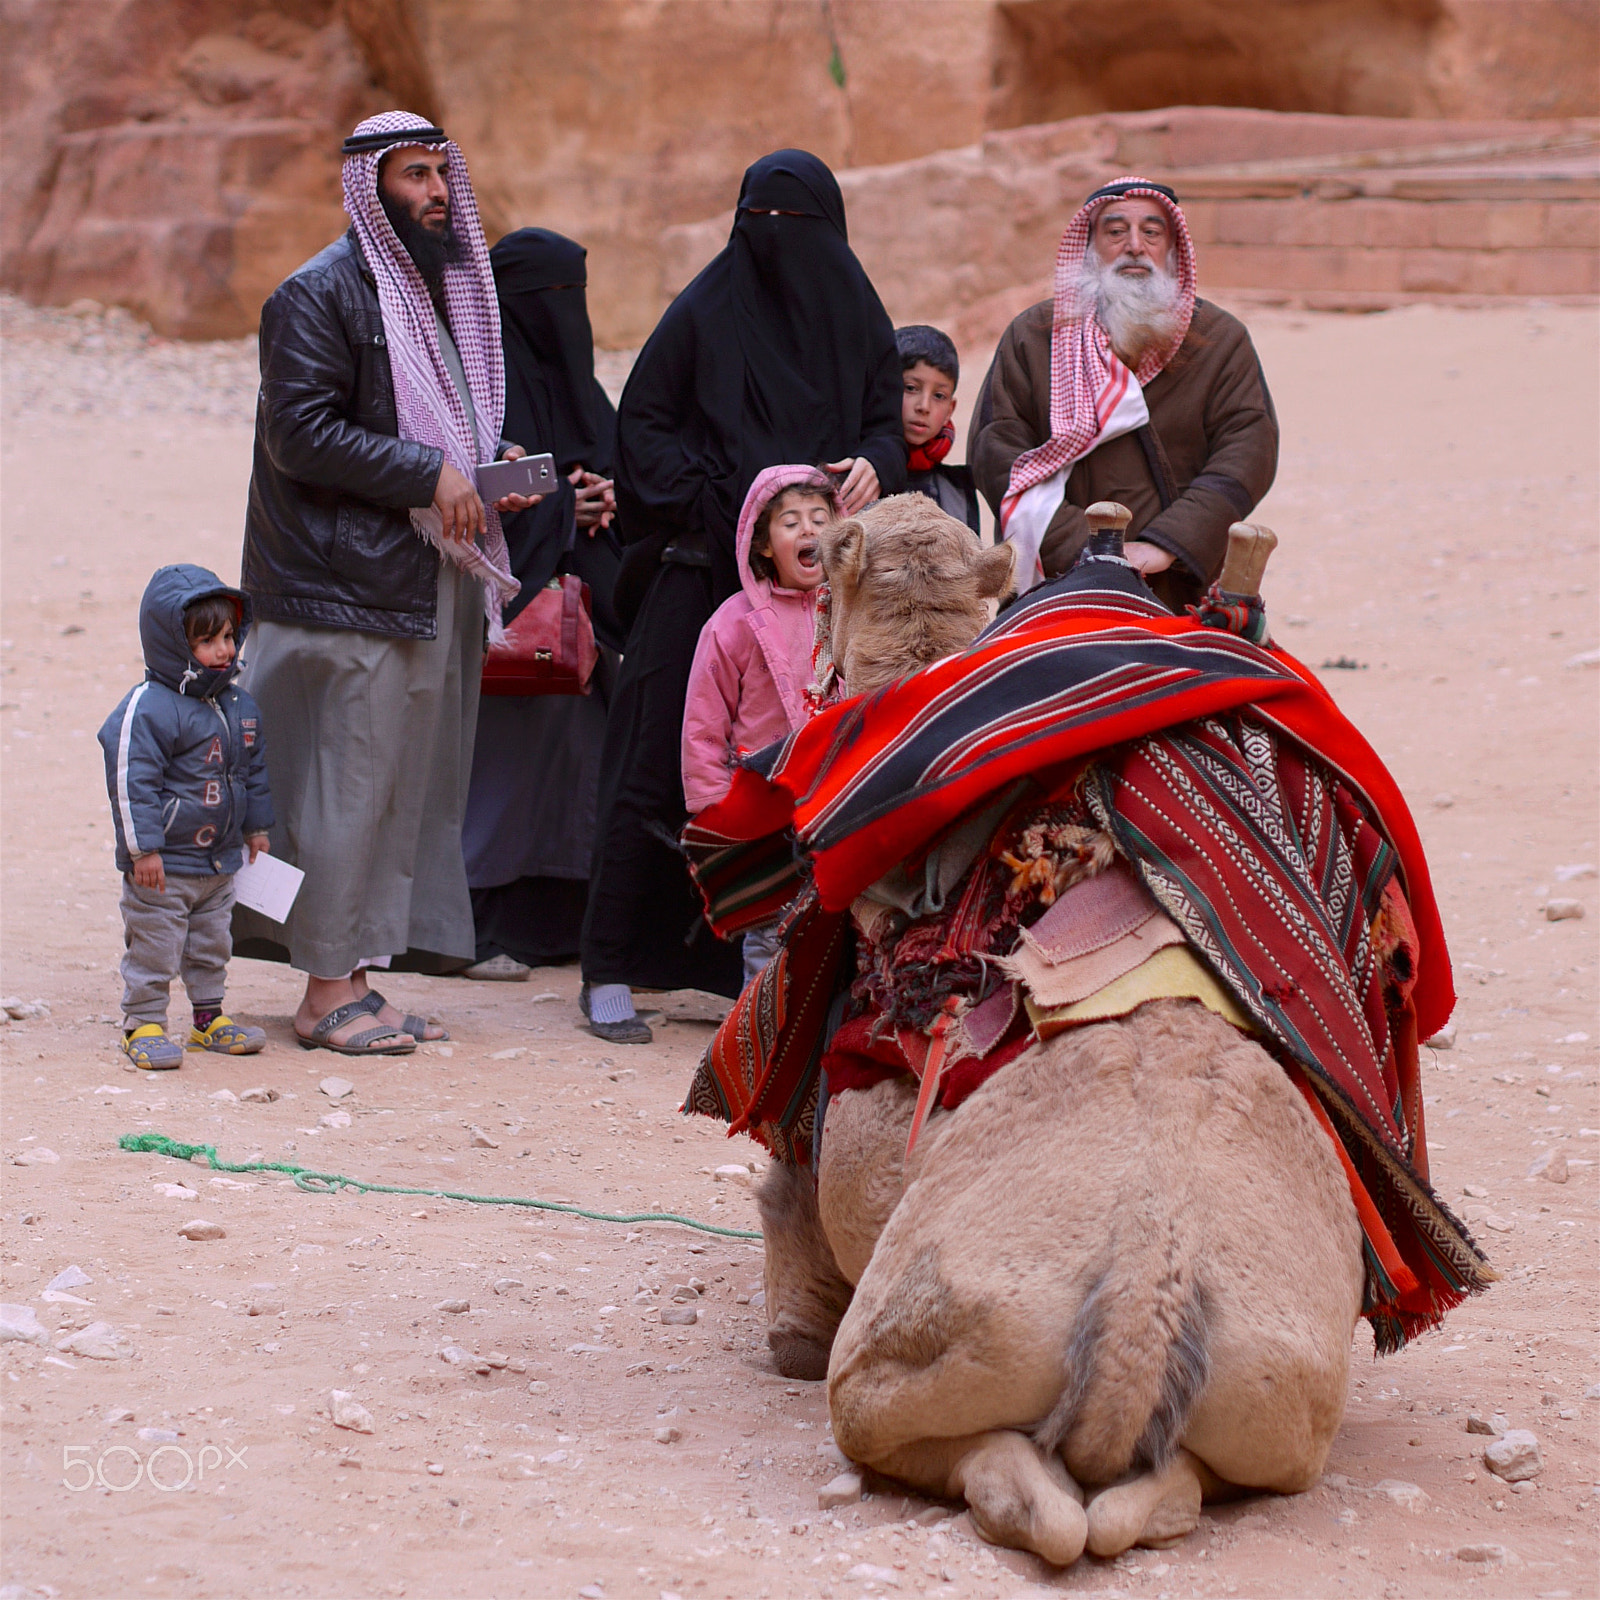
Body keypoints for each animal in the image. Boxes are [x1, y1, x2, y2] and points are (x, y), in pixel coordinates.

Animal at [755, 496, 1369, 1561]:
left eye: (827, 560)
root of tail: (1137, 1307)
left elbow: (791, 1197)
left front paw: (787, 1332)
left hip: (910, 1356)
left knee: (987, 1476)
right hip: (1278, 1401)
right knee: (1162, 1492)